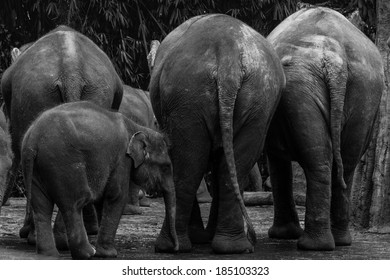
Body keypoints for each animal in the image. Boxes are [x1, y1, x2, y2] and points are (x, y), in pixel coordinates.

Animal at [20, 100, 178, 258]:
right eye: (166, 166)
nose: (174, 248)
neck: (137, 127)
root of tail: (32, 140)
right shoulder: (122, 159)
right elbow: (116, 195)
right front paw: (109, 254)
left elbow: (102, 199)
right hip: (63, 161)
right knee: (75, 202)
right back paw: (88, 253)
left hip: (38, 168)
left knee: (42, 207)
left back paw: (49, 254)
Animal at [149, 13, 284, 254]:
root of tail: (228, 53)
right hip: (259, 99)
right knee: (234, 164)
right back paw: (233, 247)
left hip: (187, 94)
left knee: (188, 164)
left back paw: (170, 246)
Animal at [266, 6, 384, 250]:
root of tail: (334, 55)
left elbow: (276, 160)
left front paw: (281, 235)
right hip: (366, 88)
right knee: (345, 164)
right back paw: (339, 242)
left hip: (301, 86)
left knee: (319, 160)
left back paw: (312, 245)